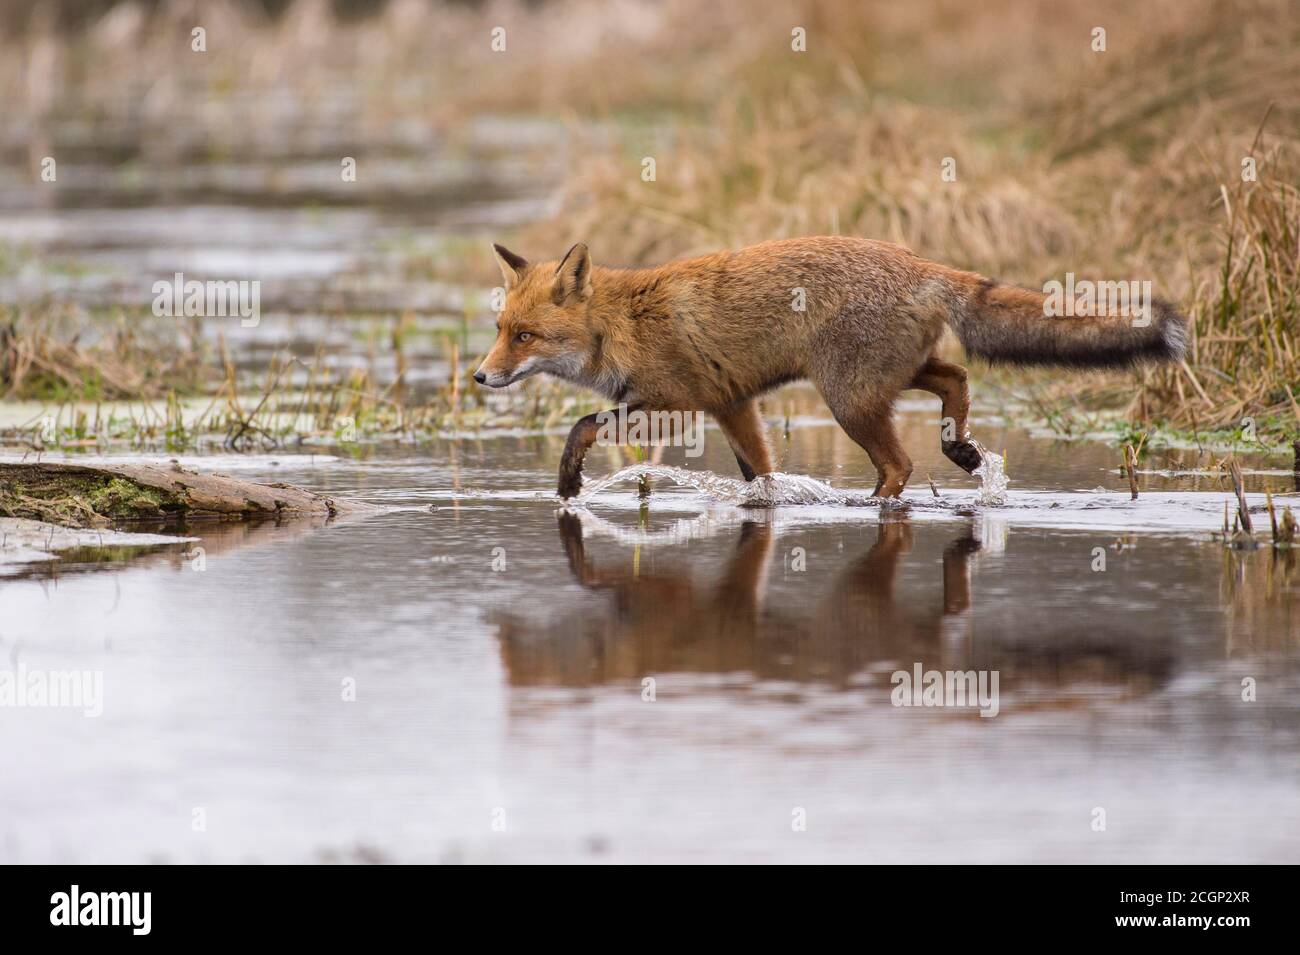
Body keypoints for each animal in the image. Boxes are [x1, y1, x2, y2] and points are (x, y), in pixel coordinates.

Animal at [473, 236, 1187, 498]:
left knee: (899, 464)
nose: (480, 376)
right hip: (885, 380)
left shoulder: (680, 403)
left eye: (526, 336)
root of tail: (923, 264)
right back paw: (963, 451)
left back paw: (875, 506)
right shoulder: (734, 403)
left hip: (849, 399)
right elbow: (760, 473)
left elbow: (582, 425)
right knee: (956, 379)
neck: (623, 323)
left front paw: (568, 482)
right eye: (500, 331)